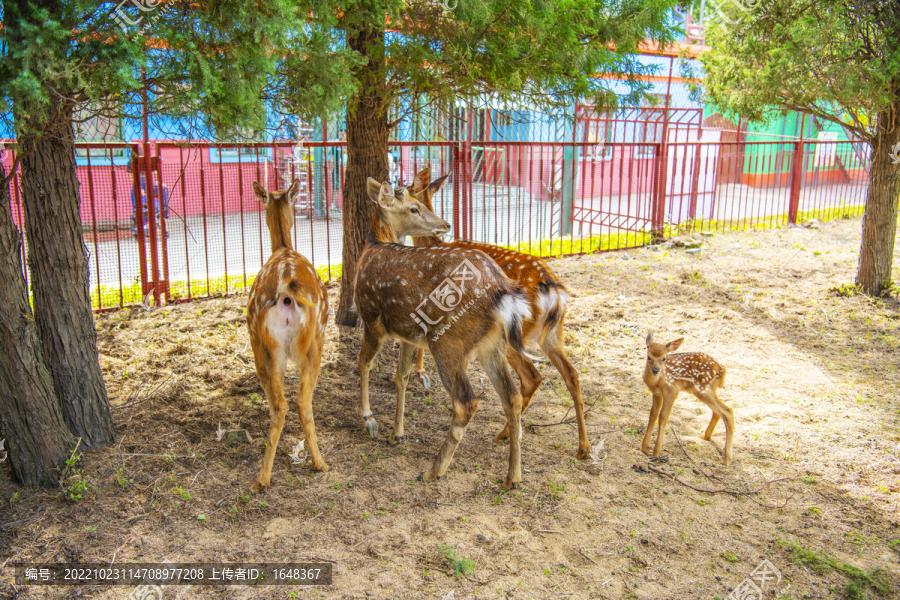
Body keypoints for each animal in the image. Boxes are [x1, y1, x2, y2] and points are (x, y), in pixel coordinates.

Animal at [246, 179, 330, 492]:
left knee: (282, 403)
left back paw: (263, 478)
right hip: (311, 340)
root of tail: (285, 289)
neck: (282, 246)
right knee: (297, 402)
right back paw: (317, 463)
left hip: (263, 344)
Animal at [354, 178, 536, 488]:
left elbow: (363, 363)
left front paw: (369, 420)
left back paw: (433, 470)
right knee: (511, 397)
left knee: (466, 402)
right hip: (492, 344)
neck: (371, 247)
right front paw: (396, 434)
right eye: (414, 208)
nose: (446, 224)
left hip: (447, 341)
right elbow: (401, 377)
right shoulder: (408, 333)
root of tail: (501, 289)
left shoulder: (371, 318)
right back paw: (513, 476)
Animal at [406, 169, 592, 460]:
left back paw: (504, 433)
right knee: (571, 374)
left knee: (532, 376)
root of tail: (554, 291)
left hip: (513, 335)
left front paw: (422, 373)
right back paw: (583, 447)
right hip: (553, 334)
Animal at [640, 332, 732, 464]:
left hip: (702, 389)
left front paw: (656, 453)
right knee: (719, 411)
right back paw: (706, 437)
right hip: (707, 389)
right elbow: (653, 414)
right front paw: (644, 448)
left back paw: (727, 459)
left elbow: (663, 416)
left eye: (664, 358)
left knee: (727, 411)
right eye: (649, 357)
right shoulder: (657, 393)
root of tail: (722, 370)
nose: (655, 370)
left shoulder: (672, 390)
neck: (657, 381)